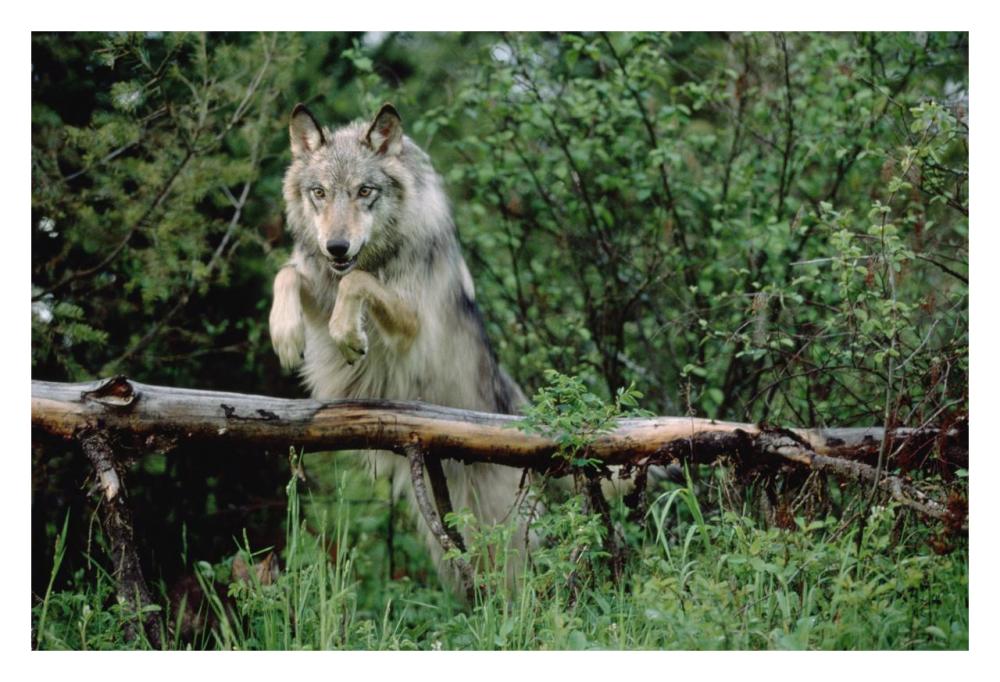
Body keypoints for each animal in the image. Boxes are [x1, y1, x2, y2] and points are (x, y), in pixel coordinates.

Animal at [268, 102, 533, 585]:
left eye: (364, 191)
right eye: (319, 193)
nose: (336, 246)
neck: (377, 253)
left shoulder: (410, 325)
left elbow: (356, 281)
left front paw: (349, 333)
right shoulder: (318, 284)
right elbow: (289, 273)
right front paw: (285, 333)